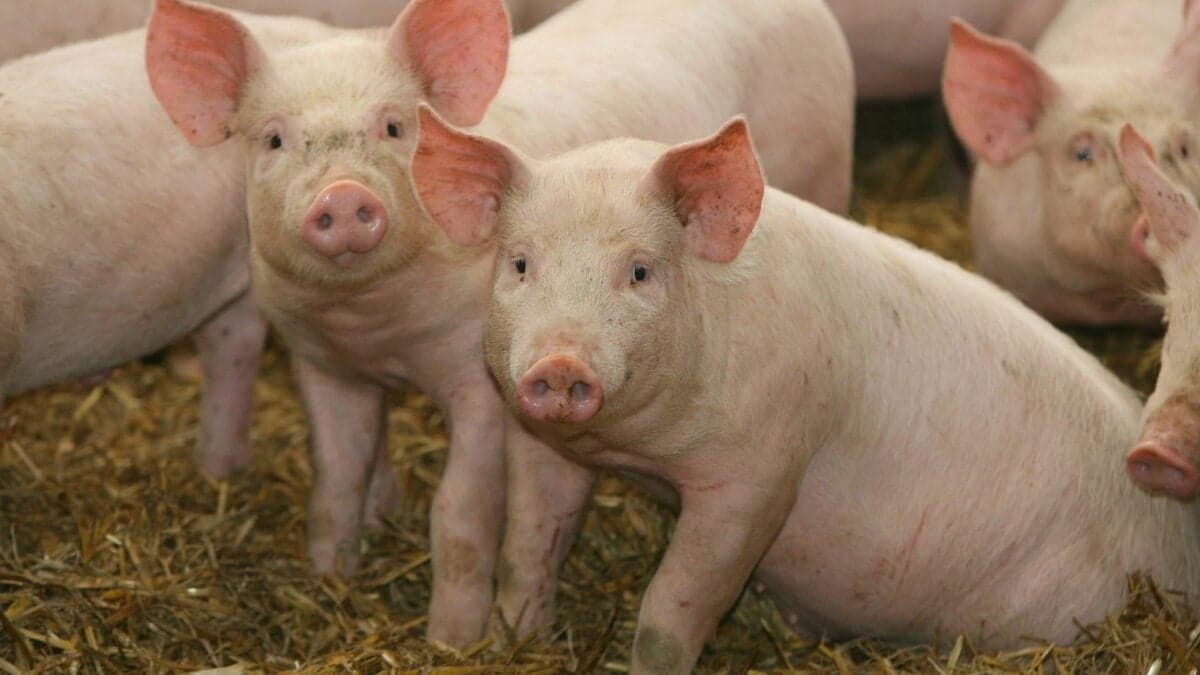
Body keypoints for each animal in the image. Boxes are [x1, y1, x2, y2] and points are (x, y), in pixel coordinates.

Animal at [144, 0, 853, 648]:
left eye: (394, 126)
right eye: (273, 139)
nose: (343, 196)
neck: (376, 327)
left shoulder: (481, 381)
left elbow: (459, 511)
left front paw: (453, 642)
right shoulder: (322, 365)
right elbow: (336, 478)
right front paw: (331, 579)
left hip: (825, 171)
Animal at [411, 108, 1200, 674]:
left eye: (639, 271)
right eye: (520, 263)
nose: (560, 362)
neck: (640, 453)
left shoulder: (760, 473)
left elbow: (672, 610)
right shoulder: (545, 444)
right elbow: (529, 548)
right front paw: (510, 640)